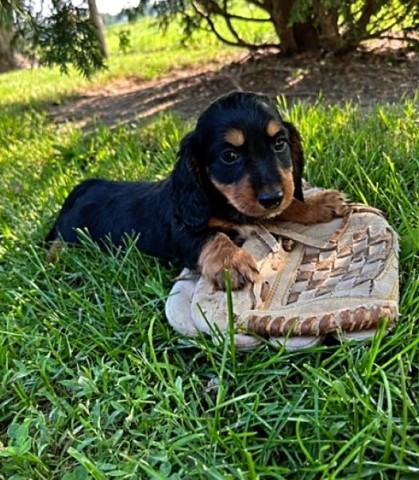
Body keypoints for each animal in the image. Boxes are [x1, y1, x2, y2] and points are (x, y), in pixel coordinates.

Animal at [46, 92, 348, 290]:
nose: (272, 198)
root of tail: (83, 187)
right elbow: (211, 235)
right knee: (58, 239)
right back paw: (56, 259)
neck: (217, 200)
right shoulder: (180, 230)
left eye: (280, 144)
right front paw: (231, 262)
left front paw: (319, 203)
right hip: (72, 230)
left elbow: (289, 205)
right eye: (229, 156)